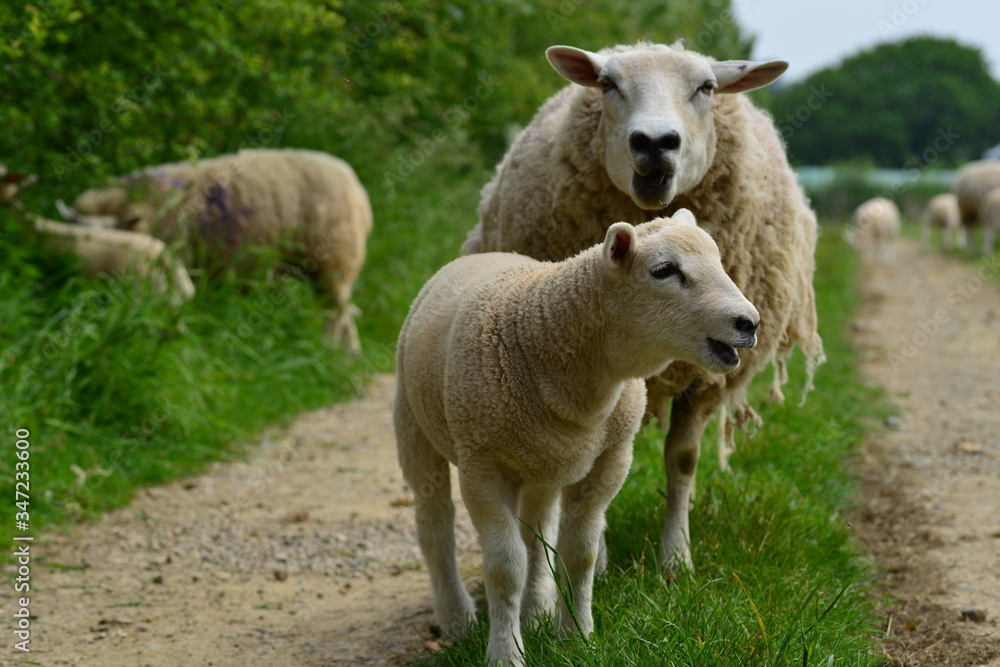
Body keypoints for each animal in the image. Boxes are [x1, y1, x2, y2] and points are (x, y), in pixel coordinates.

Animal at [396, 213, 756, 667]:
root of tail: (485, 253)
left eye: (719, 260)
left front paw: (576, 638)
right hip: (413, 423)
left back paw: (535, 613)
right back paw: (457, 620)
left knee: (536, 532)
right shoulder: (482, 464)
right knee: (435, 523)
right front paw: (505, 654)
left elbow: (579, 554)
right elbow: (504, 566)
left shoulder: (611, 458)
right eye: (663, 271)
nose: (749, 323)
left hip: (543, 463)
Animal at [464, 43, 824, 576]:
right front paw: (600, 559)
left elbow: (683, 459)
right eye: (607, 84)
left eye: (706, 87)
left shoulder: (702, 378)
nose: (655, 143)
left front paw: (676, 559)